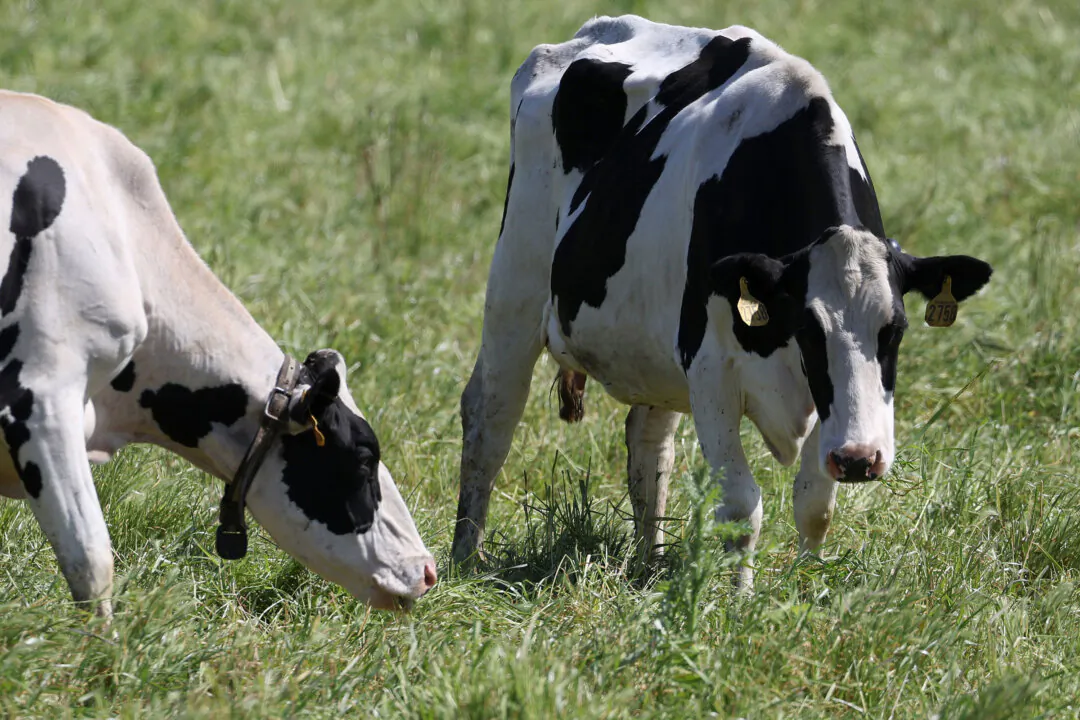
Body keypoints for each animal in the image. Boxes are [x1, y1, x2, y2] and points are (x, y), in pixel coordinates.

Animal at [451, 15, 993, 587]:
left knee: (648, 442)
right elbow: (740, 505)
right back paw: (465, 555)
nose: (860, 458)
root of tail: (597, 29)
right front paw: (740, 599)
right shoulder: (710, 366)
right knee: (491, 416)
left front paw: (804, 587)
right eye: (808, 329)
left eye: (896, 329)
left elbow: (814, 502)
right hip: (515, 283)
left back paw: (650, 562)